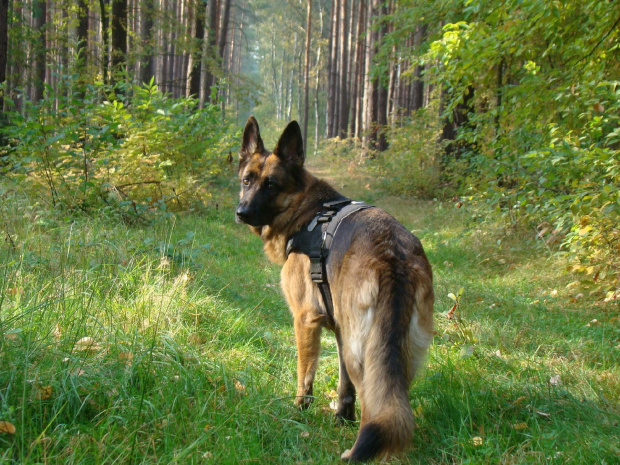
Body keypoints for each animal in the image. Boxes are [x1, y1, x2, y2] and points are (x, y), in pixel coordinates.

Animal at [235, 116, 434, 460]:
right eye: (247, 180)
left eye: (271, 185)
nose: (242, 213)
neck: (305, 209)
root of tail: (393, 255)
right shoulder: (339, 328)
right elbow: (344, 387)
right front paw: (342, 417)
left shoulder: (305, 320)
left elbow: (305, 376)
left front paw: (298, 412)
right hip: (396, 352)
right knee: (392, 403)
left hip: (361, 352)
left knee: (373, 401)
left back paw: (357, 453)